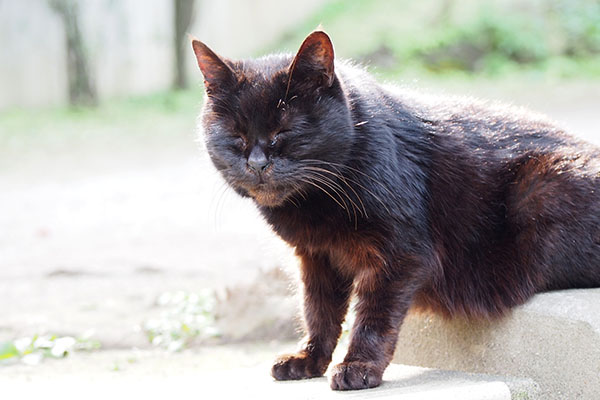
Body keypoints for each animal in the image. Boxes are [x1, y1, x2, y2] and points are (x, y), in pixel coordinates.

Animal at [191, 32, 600, 390]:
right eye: (236, 138)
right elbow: (318, 312)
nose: (257, 164)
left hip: (542, 188)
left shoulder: (400, 253)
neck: (314, 208)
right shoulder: (317, 257)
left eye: (284, 133)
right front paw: (309, 360)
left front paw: (359, 367)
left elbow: (373, 316)